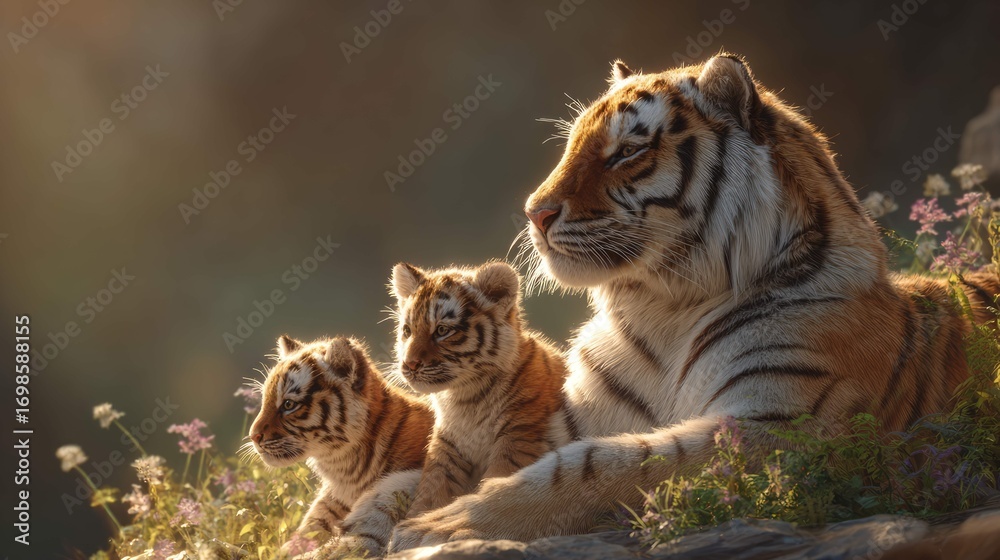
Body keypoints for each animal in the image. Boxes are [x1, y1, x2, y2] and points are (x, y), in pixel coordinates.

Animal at [389, 261, 574, 516]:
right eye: (407, 331)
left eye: (442, 330)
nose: (408, 364)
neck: (463, 398)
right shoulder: (446, 446)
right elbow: (431, 490)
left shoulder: (519, 437)